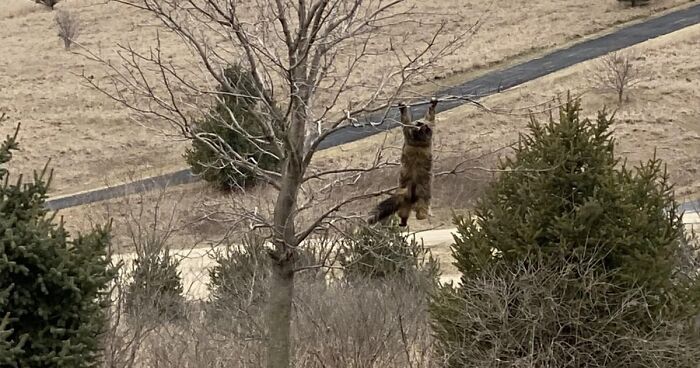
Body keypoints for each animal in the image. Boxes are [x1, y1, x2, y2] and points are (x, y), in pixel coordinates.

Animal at [370, 97, 434, 227]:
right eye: (418, 123)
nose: (419, 123)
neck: (418, 142)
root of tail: (411, 189)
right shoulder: (415, 137)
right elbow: (412, 122)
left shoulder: (415, 137)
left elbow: (409, 123)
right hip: (420, 194)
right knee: (420, 208)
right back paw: (419, 216)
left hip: (409, 196)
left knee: (407, 210)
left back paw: (406, 220)